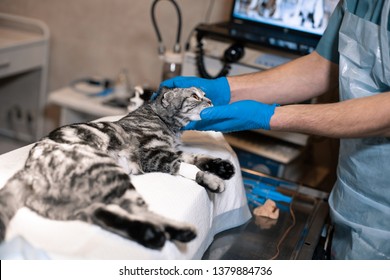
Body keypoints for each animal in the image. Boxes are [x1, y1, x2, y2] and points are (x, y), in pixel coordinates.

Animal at [0, 87, 235, 249]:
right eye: (195, 96)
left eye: (204, 95)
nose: (210, 100)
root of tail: (29, 170)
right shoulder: (154, 155)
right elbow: (184, 165)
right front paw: (212, 179)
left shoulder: (170, 150)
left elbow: (196, 157)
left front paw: (221, 168)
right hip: (110, 173)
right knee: (138, 209)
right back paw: (179, 231)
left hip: (75, 206)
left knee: (107, 216)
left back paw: (150, 234)